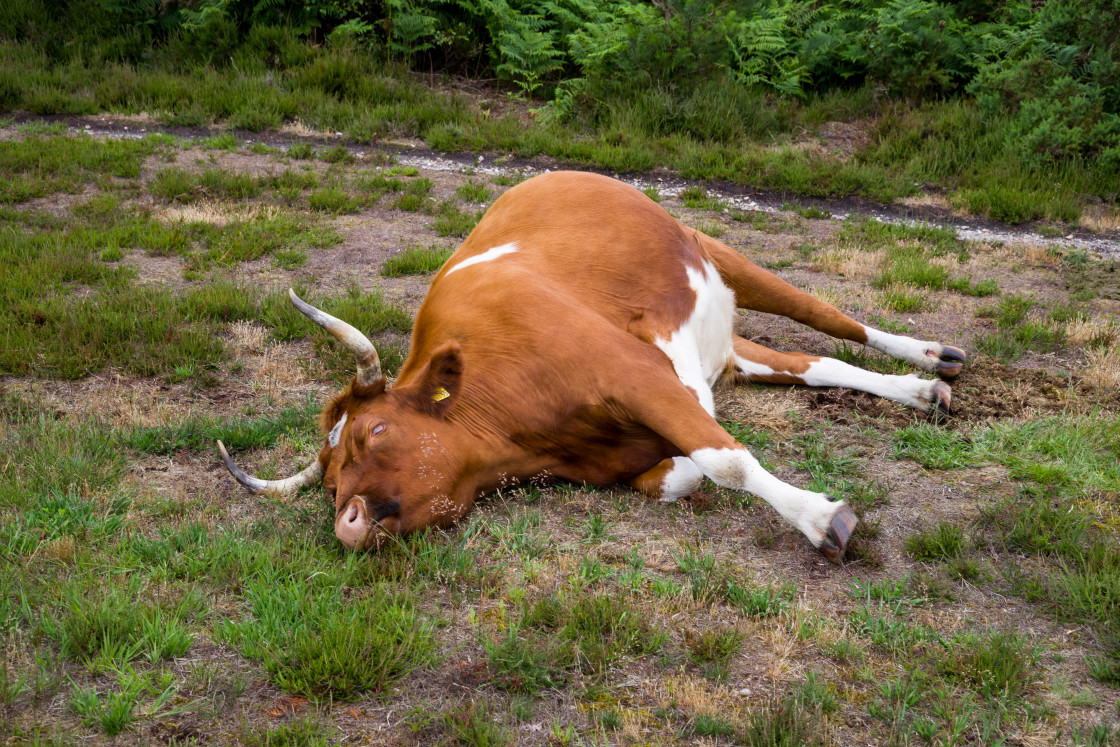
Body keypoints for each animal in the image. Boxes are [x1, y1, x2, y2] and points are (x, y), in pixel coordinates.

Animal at [218, 172, 963, 564]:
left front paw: (820, 516)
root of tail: (551, 174)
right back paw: (920, 389)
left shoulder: (635, 374)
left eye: (373, 432)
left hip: (717, 251)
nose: (346, 522)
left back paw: (932, 354)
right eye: (329, 482)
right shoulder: (641, 426)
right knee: (816, 362)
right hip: (727, 344)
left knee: (831, 316)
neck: (519, 425)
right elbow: (682, 471)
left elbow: (726, 461)